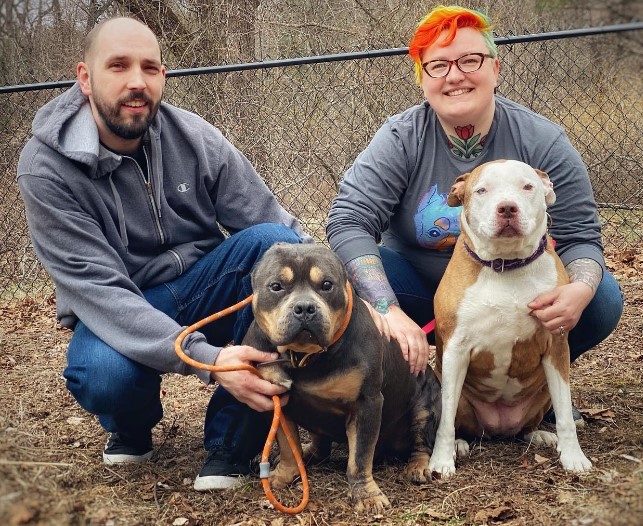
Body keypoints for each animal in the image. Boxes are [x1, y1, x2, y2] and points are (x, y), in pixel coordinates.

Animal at [430, 159, 592, 476]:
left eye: (527, 186)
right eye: (481, 190)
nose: (507, 208)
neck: (506, 265)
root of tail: (497, 429)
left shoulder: (557, 344)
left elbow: (565, 414)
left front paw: (573, 456)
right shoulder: (455, 349)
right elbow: (445, 419)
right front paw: (440, 460)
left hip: (542, 392)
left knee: (528, 426)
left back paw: (540, 434)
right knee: (456, 419)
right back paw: (459, 444)